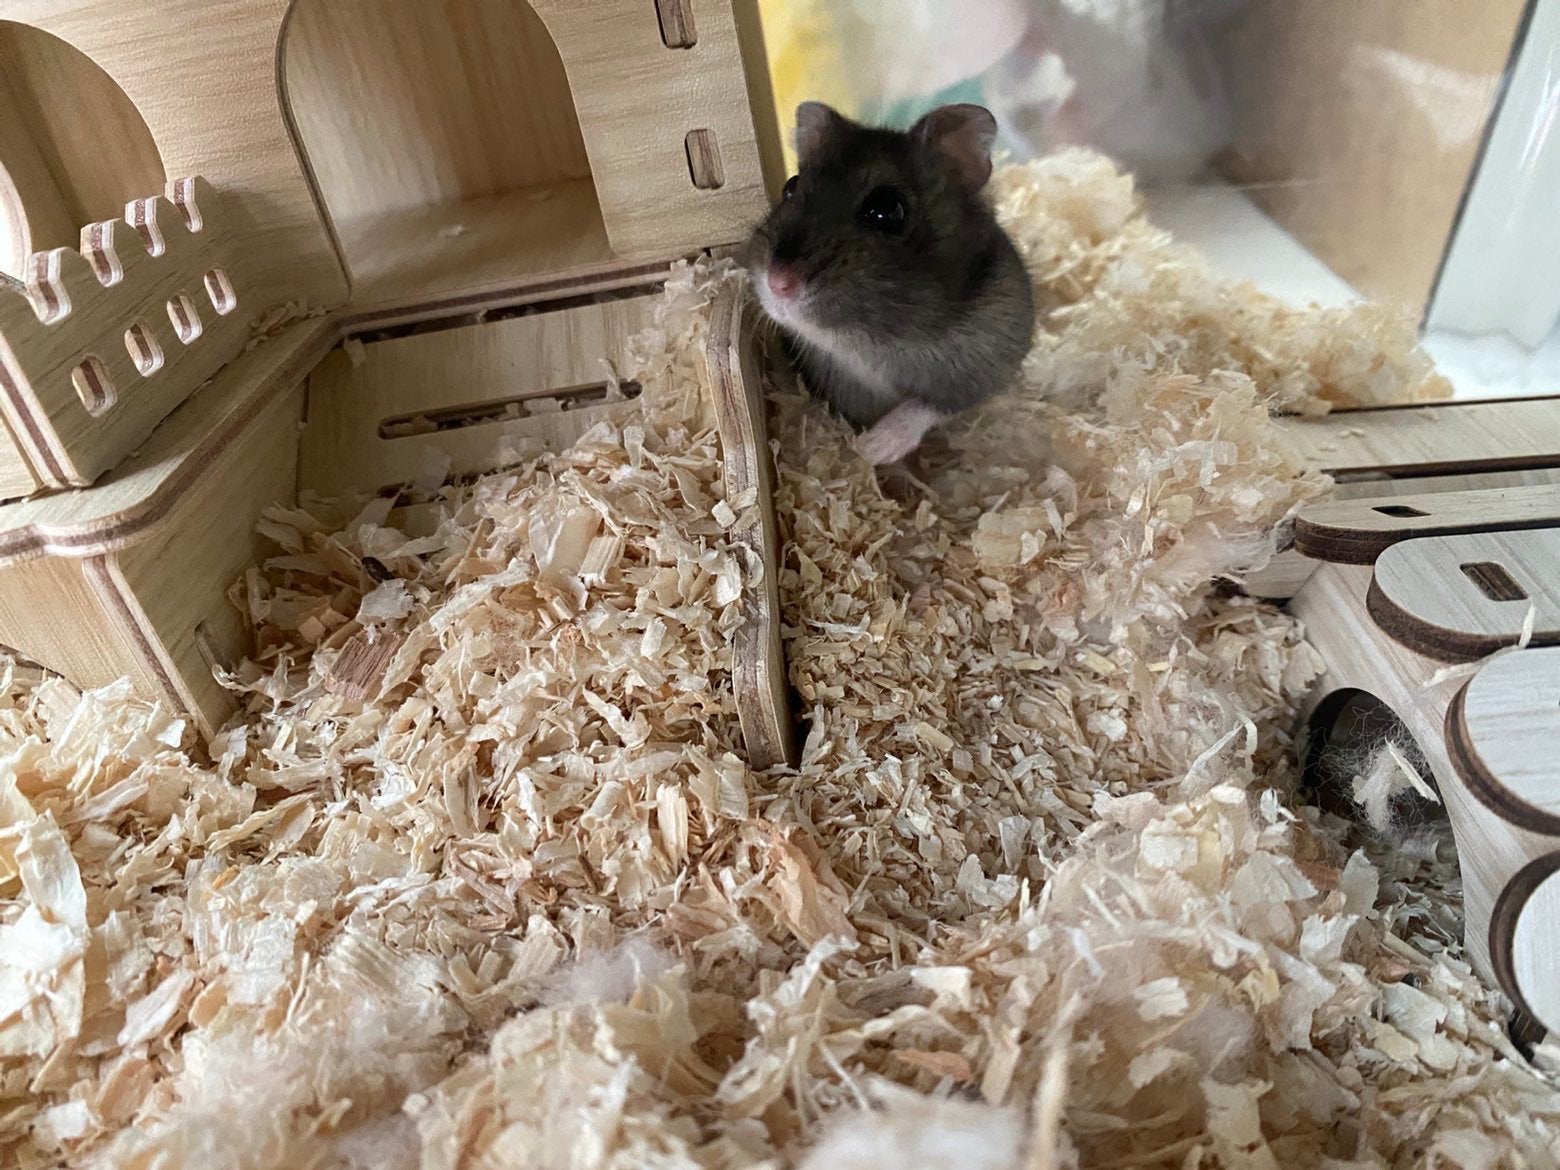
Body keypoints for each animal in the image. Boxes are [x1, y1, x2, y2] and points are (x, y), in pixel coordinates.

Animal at [745, 102, 1035, 465]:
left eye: (887, 210)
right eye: (790, 187)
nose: (778, 283)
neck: (869, 345)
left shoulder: (988, 361)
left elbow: (928, 405)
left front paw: (872, 448)